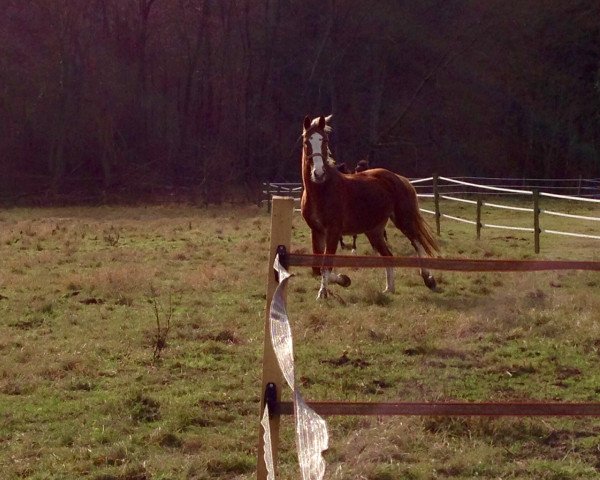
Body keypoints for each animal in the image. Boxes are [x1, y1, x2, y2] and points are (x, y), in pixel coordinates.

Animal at [302, 114, 438, 298]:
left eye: (325, 141)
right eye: (306, 141)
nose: (318, 173)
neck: (322, 189)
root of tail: (398, 178)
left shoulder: (333, 231)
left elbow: (325, 266)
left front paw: (325, 292)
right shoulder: (316, 231)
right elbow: (317, 268)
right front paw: (342, 281)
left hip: (403, 220)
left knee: (417, 243)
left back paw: (429, 279)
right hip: (374, 230)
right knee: (388, 255)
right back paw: (389, 288)